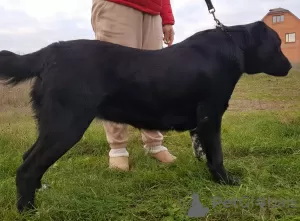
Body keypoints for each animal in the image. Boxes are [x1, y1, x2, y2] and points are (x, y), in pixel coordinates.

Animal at [0, 21, 290, 212]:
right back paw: (28, 210)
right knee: (27, 168)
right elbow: (217, 155)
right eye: (277, 44)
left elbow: (205, 153)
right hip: (66, 126)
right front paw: (227, 182)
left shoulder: (202, 123)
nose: (289, 66)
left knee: (28, 159)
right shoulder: (211, 115)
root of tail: (49, 52)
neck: (231, 46)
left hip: (51, 125)